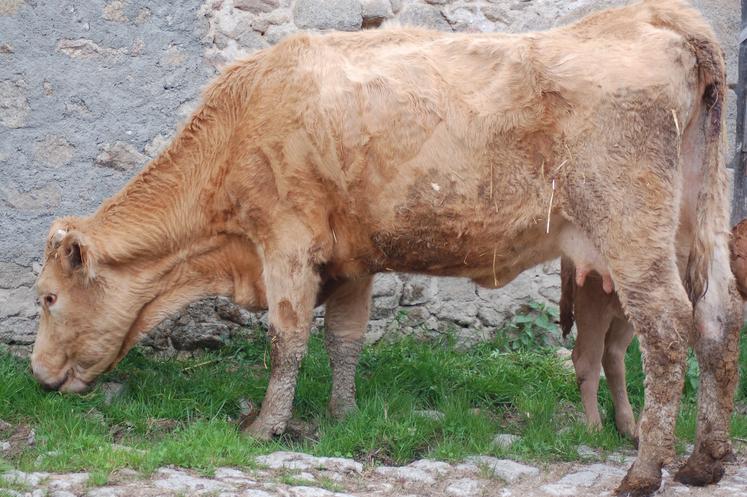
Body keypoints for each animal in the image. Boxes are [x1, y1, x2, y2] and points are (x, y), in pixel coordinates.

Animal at [30, 1, 739, 495]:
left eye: (47, 298)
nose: (36, 375)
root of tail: (653, 17)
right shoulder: (352, 258)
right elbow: (345, 339)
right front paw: (342, 416)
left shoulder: (286, 242)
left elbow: (287, 340)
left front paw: (265, 426)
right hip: (699, 223)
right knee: (719, 322)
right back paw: (703, 462)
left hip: (631, 229)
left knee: (668, 330)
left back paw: (644, 471)